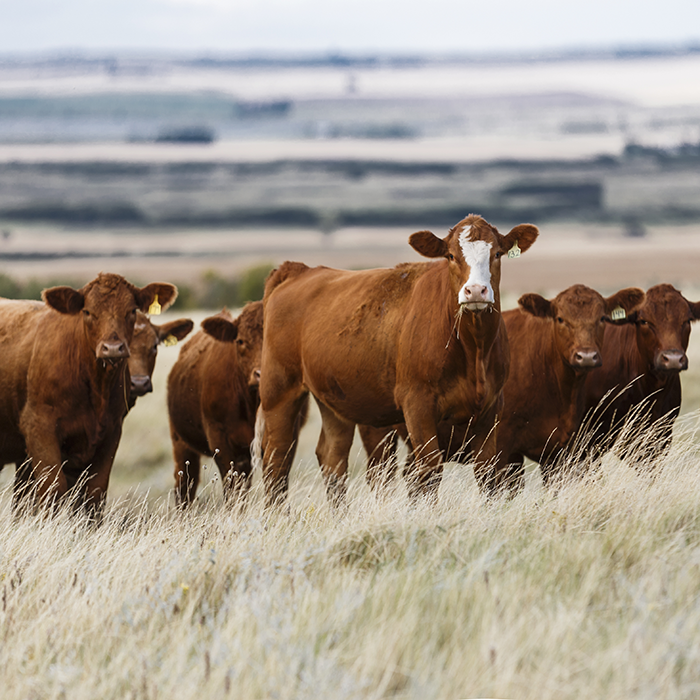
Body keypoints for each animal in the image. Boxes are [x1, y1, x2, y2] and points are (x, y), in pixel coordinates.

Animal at [0, 273, 177, 515]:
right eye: (87, 311)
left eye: (131, 310)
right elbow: (53, 492)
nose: (112, 348)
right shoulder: (39, 431)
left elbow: (94, 496)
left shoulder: (109, 435)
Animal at [167, 302, 263, 506]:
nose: (261, 374)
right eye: (240, 341)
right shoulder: (220, 440)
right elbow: (232, 489)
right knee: (185, 487)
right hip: (181, 443)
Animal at [259, 214, 539, 507]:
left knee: (332, 457)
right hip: (279, 391)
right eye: (451, 256)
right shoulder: (417, 403)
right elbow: (429, 470)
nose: (475, 291)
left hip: (333, 400)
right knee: (276, 460)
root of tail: (300, 271)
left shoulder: (491, 406)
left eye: (496, 254)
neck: (473, 349)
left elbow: (487, 473)